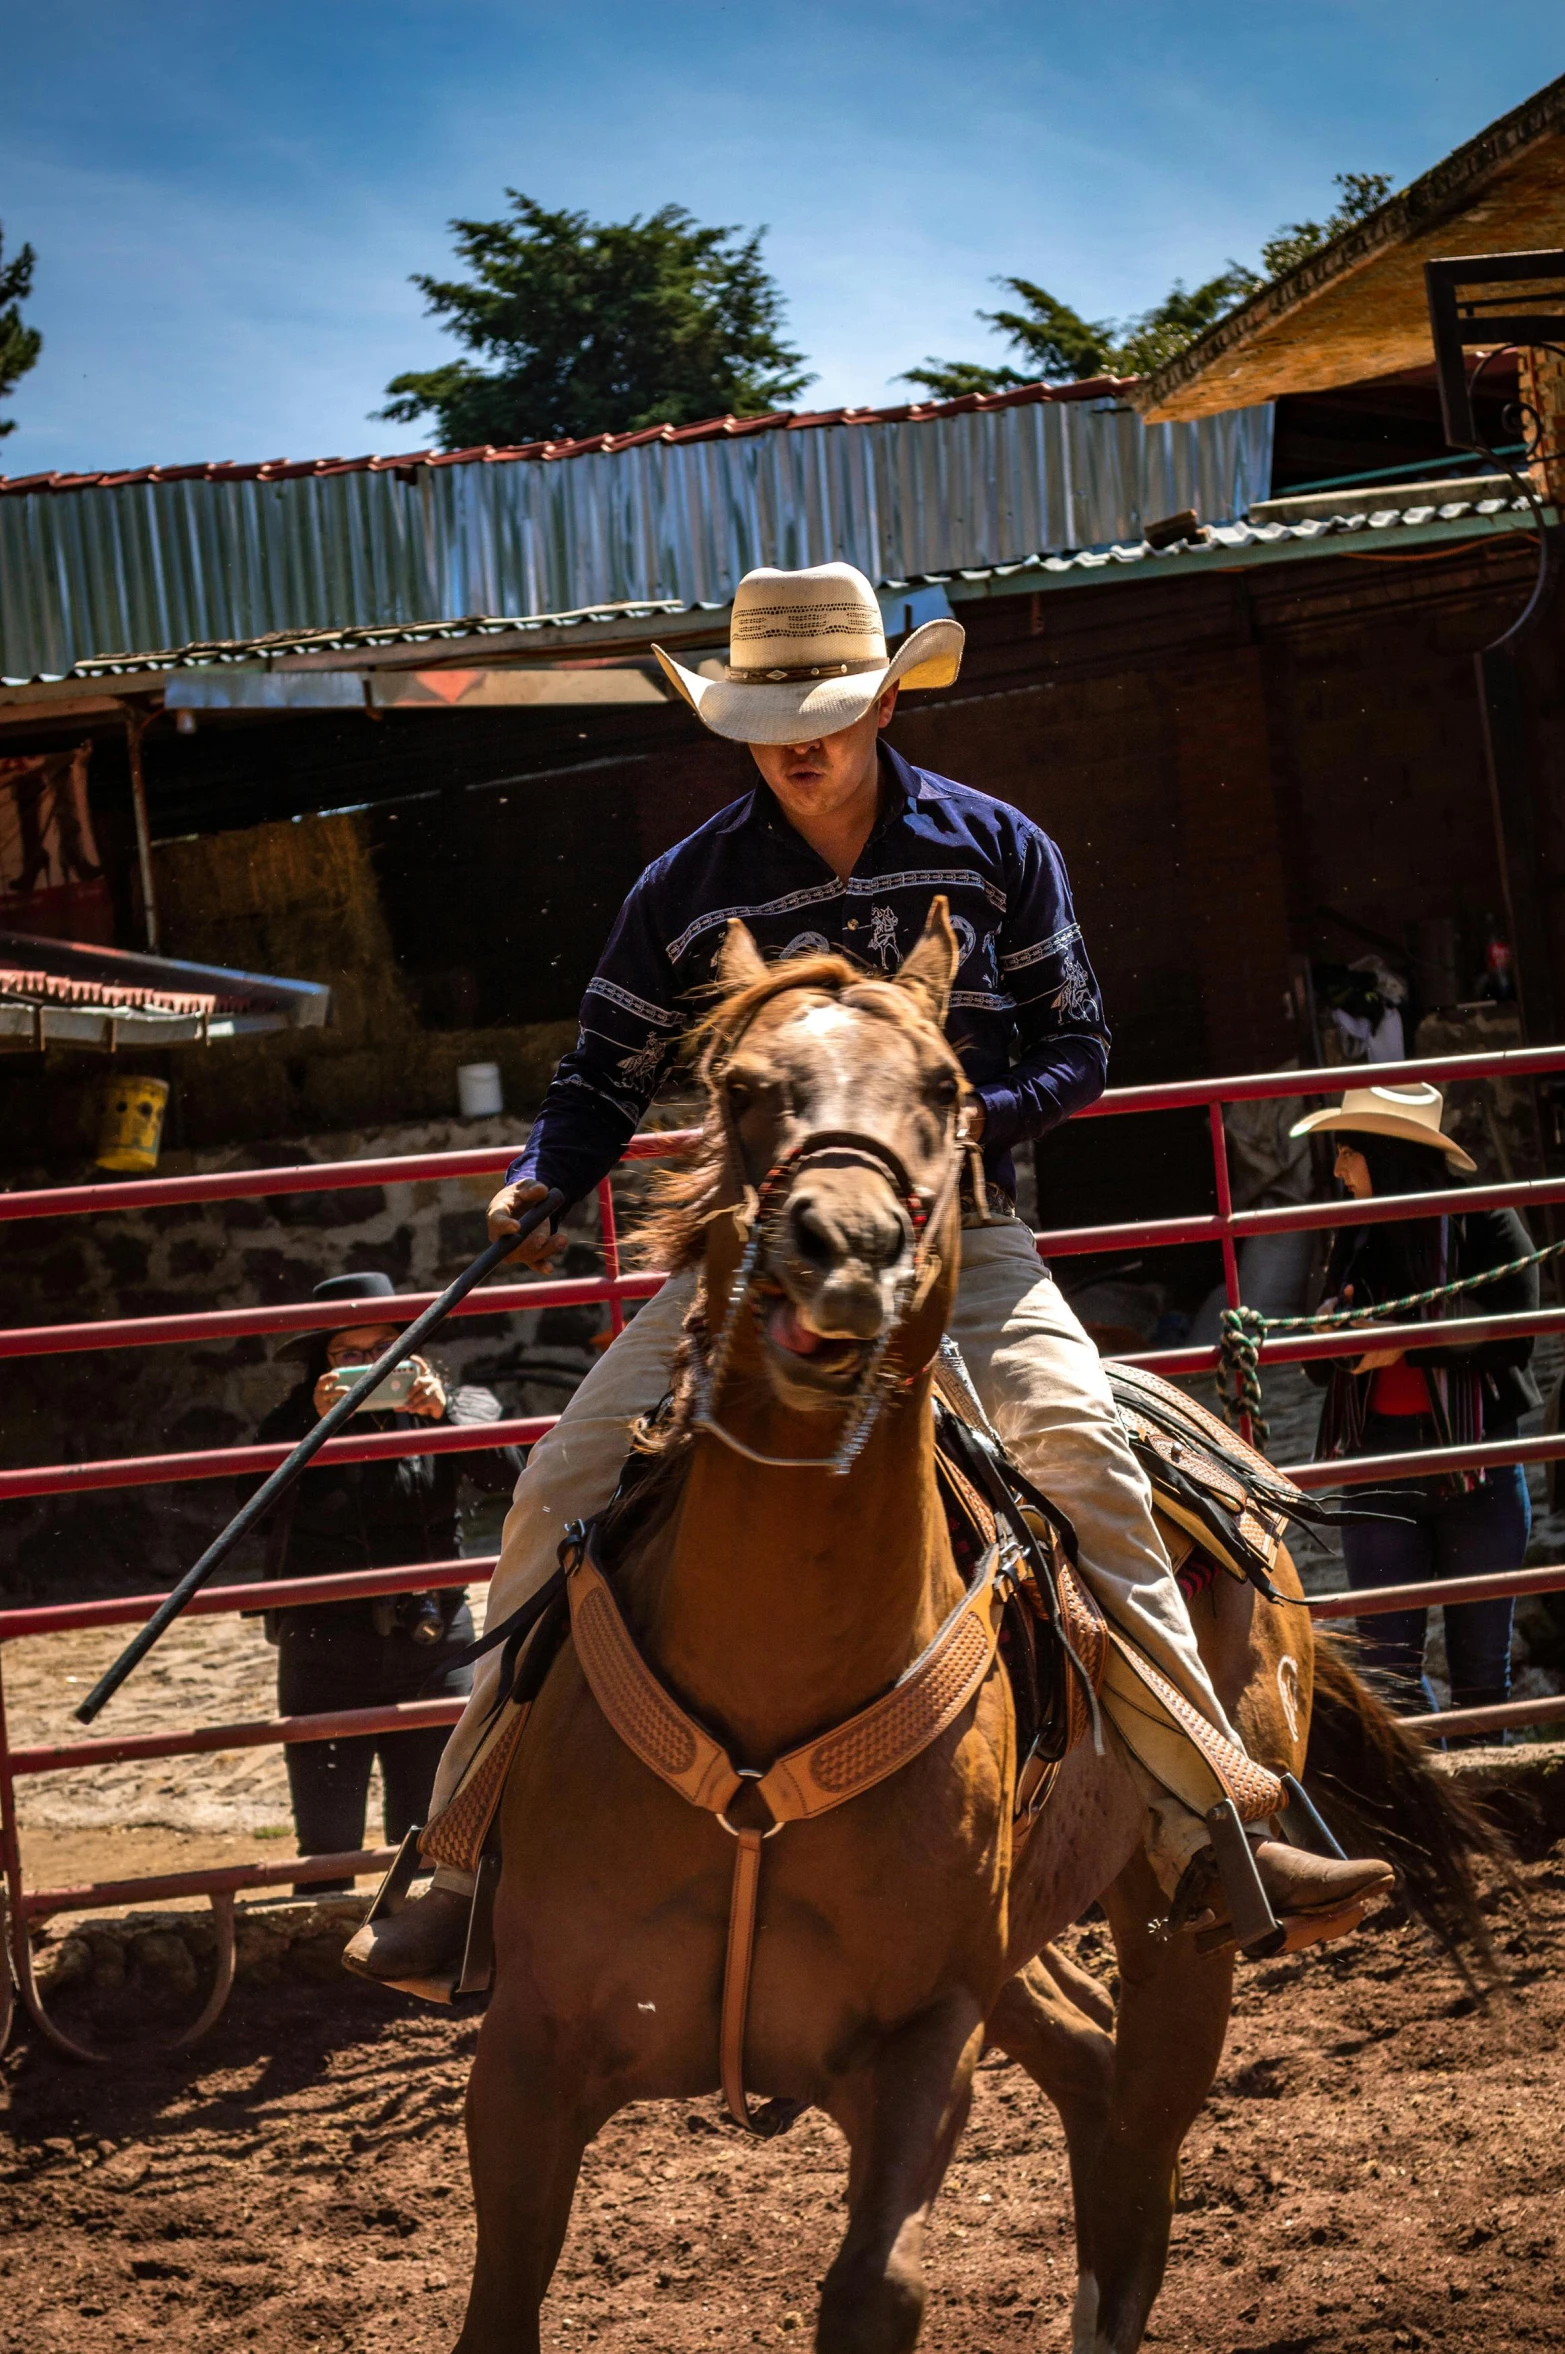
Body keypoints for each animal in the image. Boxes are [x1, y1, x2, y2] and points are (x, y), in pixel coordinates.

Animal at [458, 908, 1506, 2344]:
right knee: (1092, 2067)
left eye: (946, 1083)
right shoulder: (525, 2053)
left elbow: (875, 2285)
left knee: (1138, 2132)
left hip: (1179, 1928)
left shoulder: (920, 2038)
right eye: (737, 1087)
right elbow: (501, 2296)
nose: (841, 1242)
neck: (767, 1702)